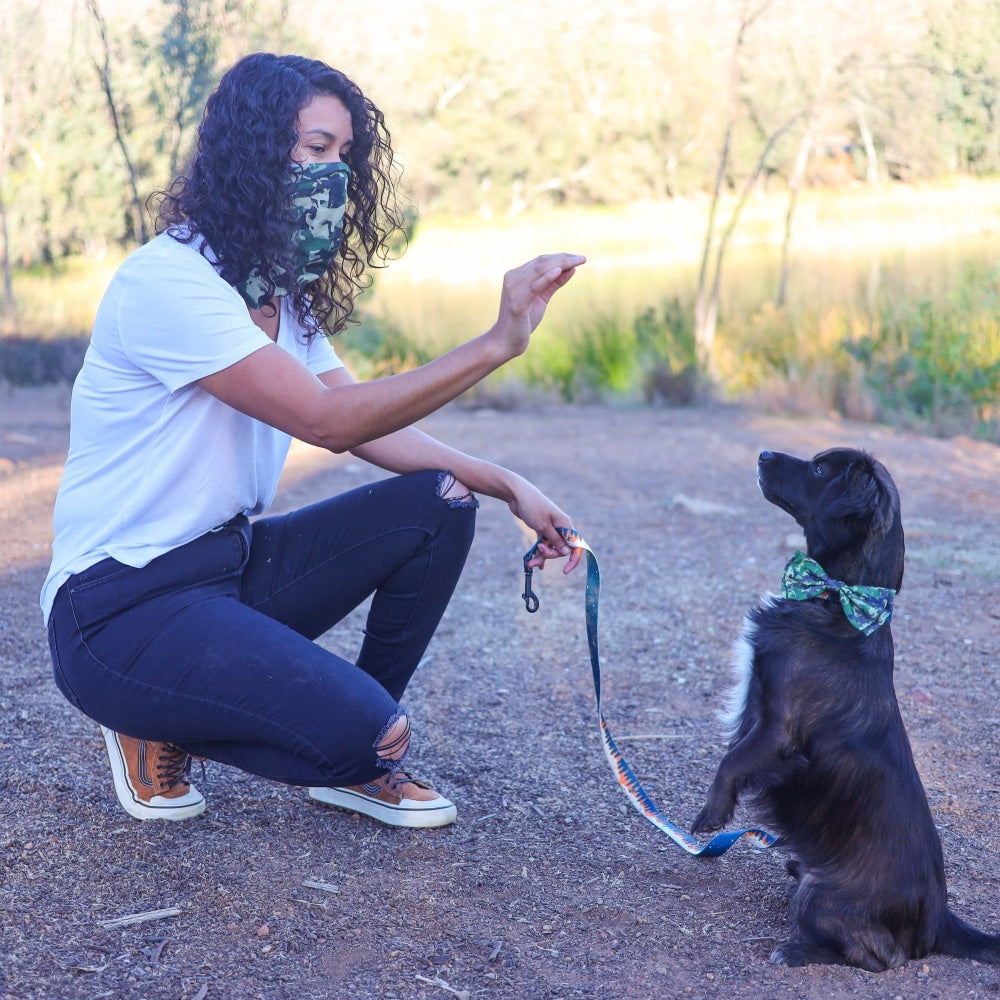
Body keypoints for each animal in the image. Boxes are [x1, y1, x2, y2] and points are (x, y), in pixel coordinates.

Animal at [692, 450, 1000, 972]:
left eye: (818, 469)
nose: (763, 453)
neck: (836, 599)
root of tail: (939, 919)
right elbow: (733, 752)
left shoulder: (777, 730)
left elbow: (731, 759)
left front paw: (710, 816)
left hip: (821, 897)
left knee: (881, 957)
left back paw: (797, 950)